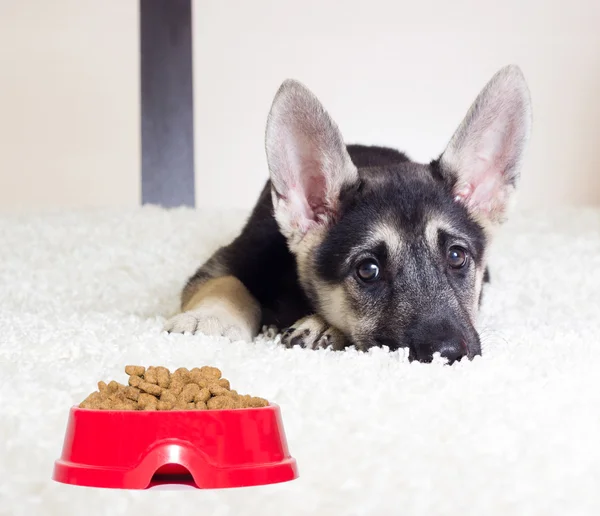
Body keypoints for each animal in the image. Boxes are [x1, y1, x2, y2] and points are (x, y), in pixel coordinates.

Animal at [163, 64, 528, 362]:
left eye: (456, 256)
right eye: (368, 270)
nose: (448, 354)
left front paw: (324, 327)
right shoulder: (231, 257)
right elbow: (226, 283)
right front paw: (210, 319)